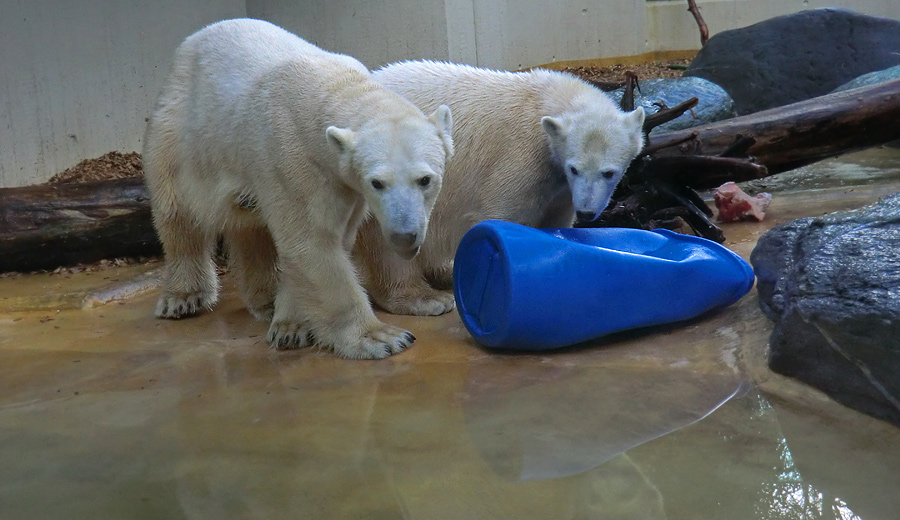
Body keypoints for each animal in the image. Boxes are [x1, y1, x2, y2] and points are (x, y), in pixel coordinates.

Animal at [143, 21, 454, 362]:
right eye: (377, 183)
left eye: (425, 179)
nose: (404, 236)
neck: (333, 86)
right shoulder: (294, 157)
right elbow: (312, 242)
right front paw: (382, 337)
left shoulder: (344, 185)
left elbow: (326, 241)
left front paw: (293, 325)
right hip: (184, 133)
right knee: (178, 210)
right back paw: (183, 297)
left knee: (249, 223)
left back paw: (265, 299)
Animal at [356, 59, 644, 314]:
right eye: (575, 168)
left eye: (609, 173)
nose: (586, 212)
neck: (545, 100)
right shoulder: (521, 156)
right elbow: (501, 215)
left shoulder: (560, 188)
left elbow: (555, 221)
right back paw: (425, 298)